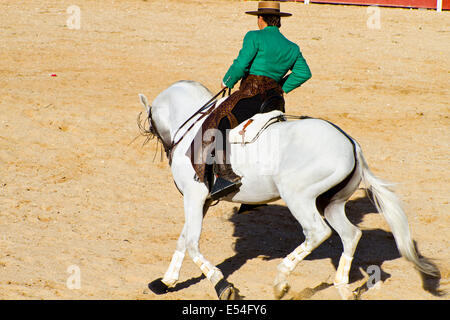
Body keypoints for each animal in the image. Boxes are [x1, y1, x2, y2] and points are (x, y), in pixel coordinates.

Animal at [138, 80, 440, 300]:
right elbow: (183, 239)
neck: (192, 129)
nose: (158, 141)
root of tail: (351, 144)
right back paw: (341, 284)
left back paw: (281, 280)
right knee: (351, 234)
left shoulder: (194, 196)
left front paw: (222, 286)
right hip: (332, 203)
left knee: (318, 232)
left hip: (298, 196)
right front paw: (166, 282)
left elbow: (191, 242)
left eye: (150, 117)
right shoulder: (200, 202)